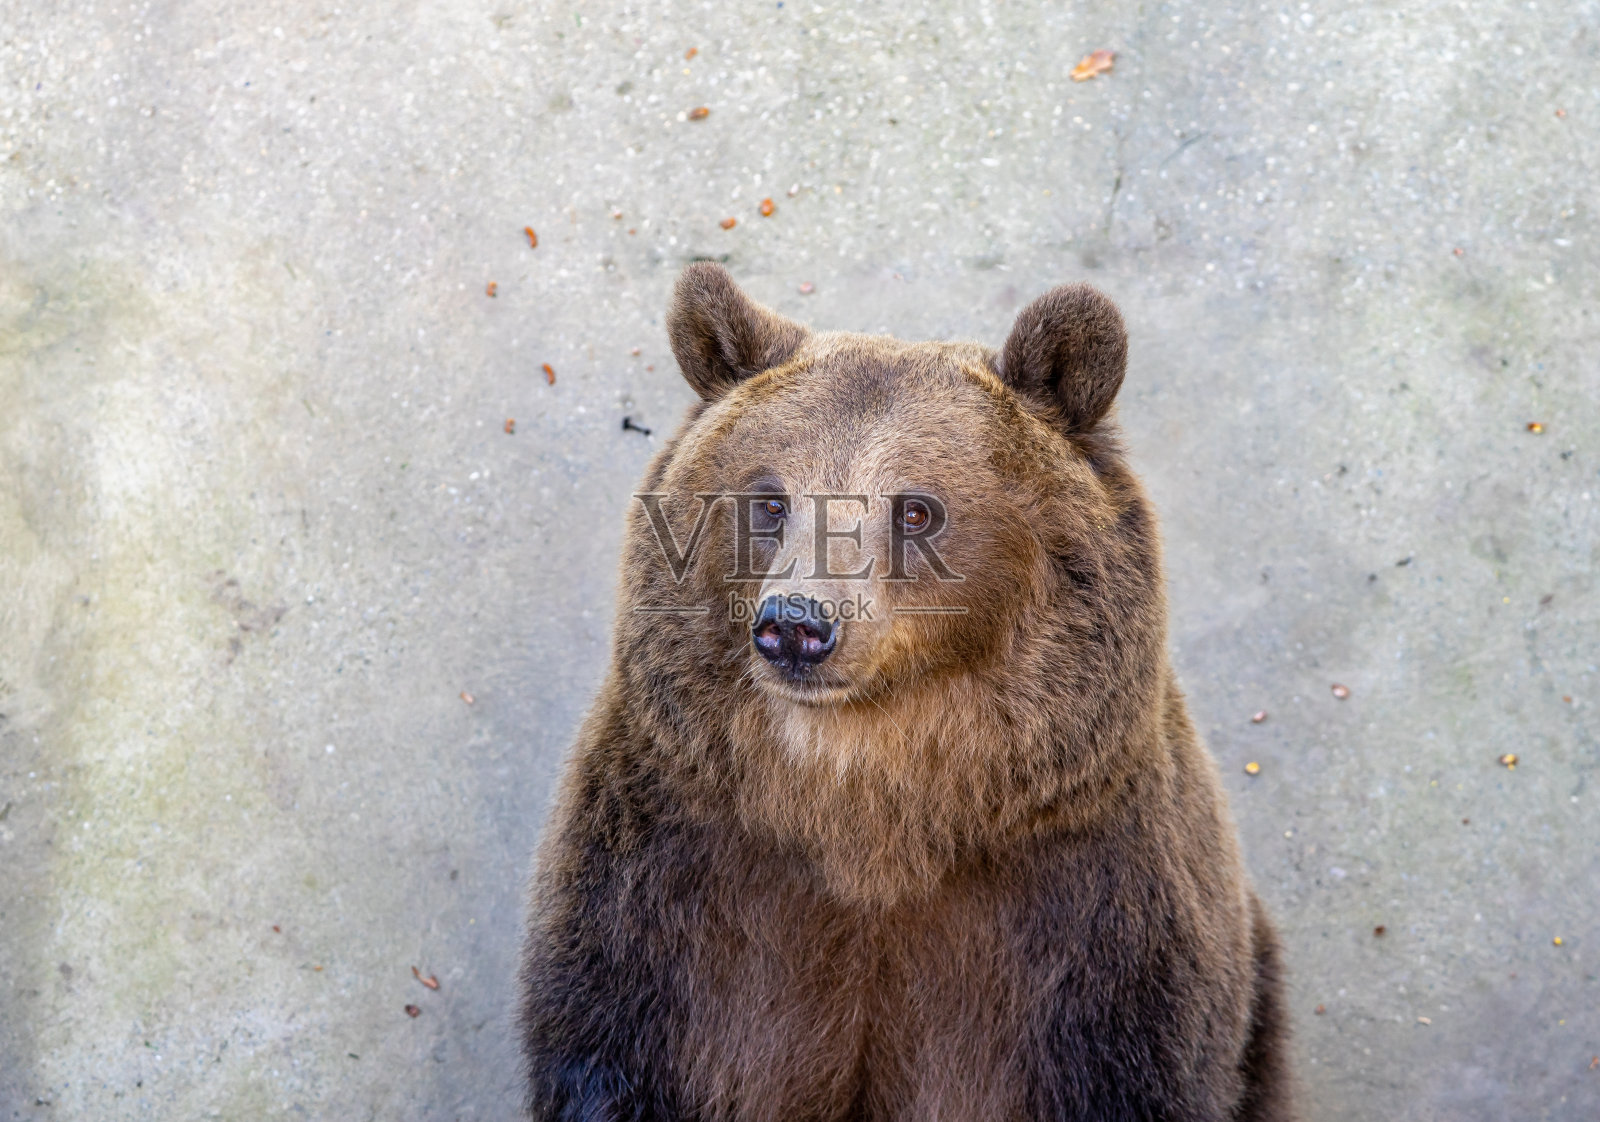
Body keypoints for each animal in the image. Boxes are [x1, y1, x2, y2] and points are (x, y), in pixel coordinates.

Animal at [517, 263, 1293, 1122]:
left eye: (916, 508)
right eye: (770, 499)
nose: (797, 626)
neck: (875, 822)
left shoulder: (1098, 930)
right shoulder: (664, 905)